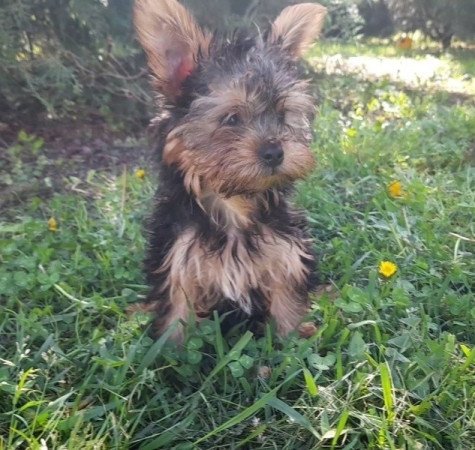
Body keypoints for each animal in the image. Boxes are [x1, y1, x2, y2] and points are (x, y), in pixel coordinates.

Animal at [134, 0, 328, 342]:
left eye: (282, 115)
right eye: (232, 119)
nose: (275, 152)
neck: (235, 204)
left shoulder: (286, 258)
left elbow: (288, 311)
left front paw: (294, 343)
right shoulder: (178, 263)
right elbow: (175, 322)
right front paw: (169, 354)